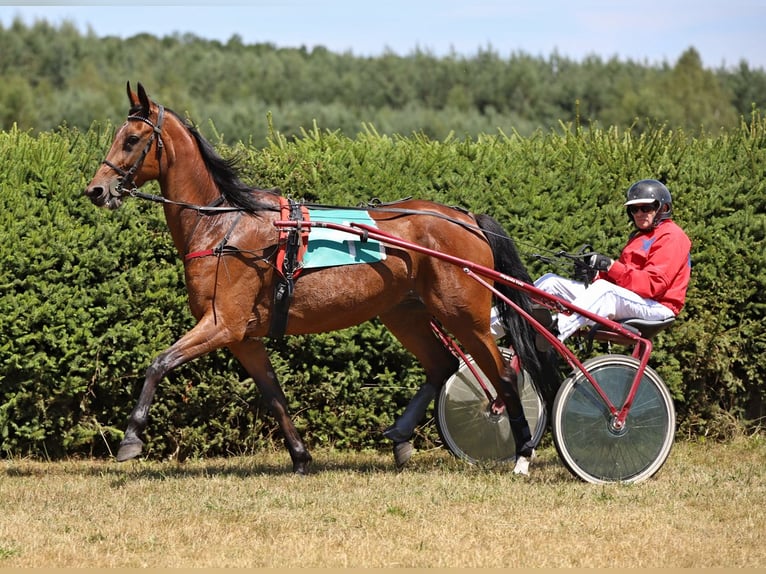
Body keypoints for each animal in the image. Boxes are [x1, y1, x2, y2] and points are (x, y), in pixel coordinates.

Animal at [84, 82, 552, 476]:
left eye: (131, 139)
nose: (96, 190)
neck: (223, 225)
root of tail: (466, 218)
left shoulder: (221, 324)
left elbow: (158, 363)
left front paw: (130, 439)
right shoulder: (243, 337)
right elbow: (274, 394)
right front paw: (300, 457)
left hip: (463, 313)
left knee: (502, 375)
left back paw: (523, 452)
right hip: (405, 313)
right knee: (442, 365)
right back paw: (401, 437)